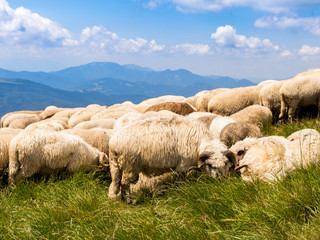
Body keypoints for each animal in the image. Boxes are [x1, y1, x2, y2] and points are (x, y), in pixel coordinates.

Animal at [107, 118, 235, 202]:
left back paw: (122, 199)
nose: (221, 179)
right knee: (124, 183)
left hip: (117, 166)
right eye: (209, 165)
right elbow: (181, 180)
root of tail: (113, 142)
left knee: (118, 182)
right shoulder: (183, 165)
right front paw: (182, 190)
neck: (200, 141)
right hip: (130, 165)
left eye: (226, 163)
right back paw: (129, 202)